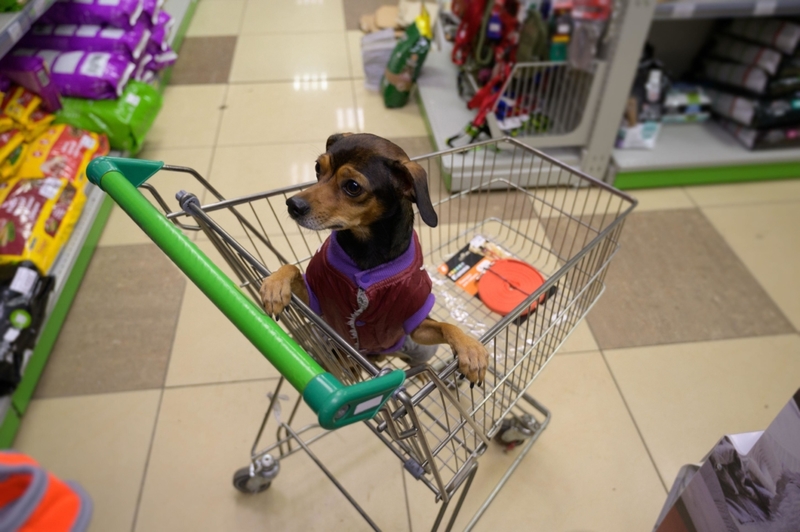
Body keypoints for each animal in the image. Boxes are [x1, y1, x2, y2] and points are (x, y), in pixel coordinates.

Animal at [260, 131, 490, 384]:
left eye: (352, 186)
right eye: (318, 167)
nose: (292, 204)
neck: (368, 251)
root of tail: (376, 359)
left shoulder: (416, 326)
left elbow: (448, 326)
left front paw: (471, 349)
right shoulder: (315, 303)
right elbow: (291, 267)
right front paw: (275, 285)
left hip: (416, 347)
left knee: (416, 361)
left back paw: (420, 373)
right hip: (327, 340)